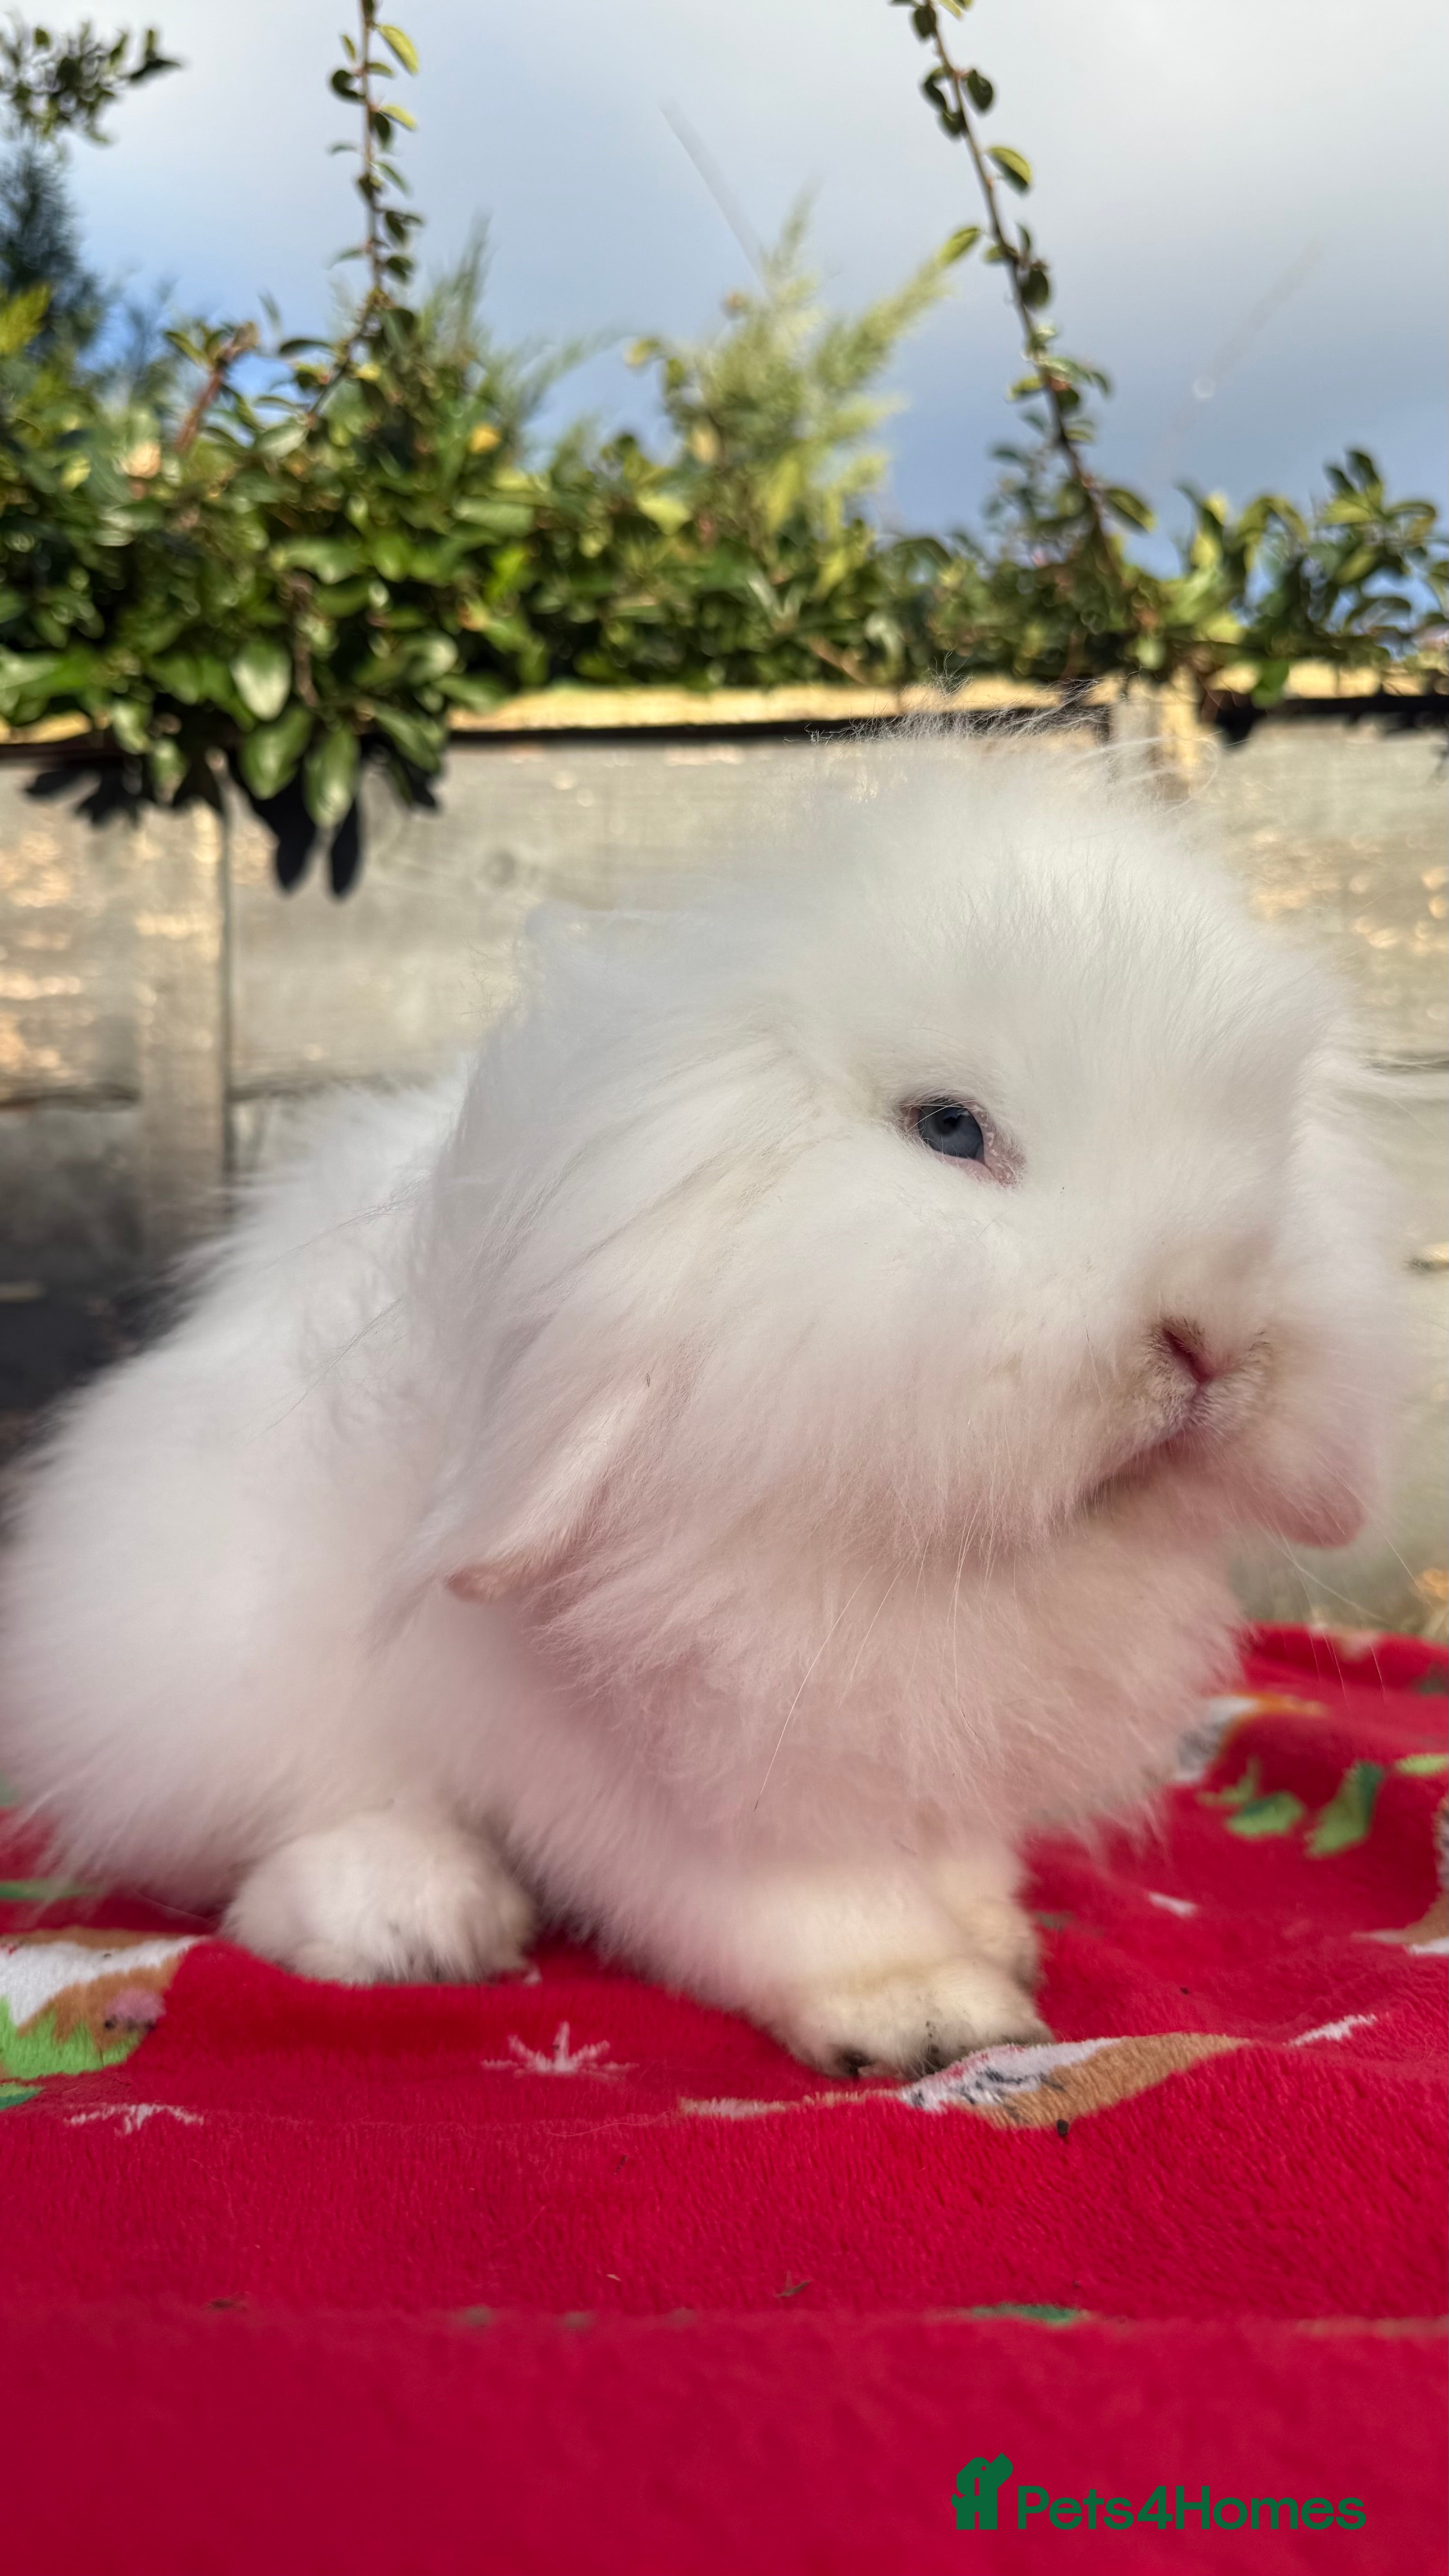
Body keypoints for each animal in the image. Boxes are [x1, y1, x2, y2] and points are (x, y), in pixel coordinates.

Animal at [0, 745, 1397, 2077]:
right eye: (949, 1127)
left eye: (1271, 1135)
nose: (1213, 1336)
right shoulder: (676, 1764)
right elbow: (796, 1902)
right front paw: (926, 2010)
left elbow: (947, 1846)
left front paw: (989, 1922)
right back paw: (411, 1920)